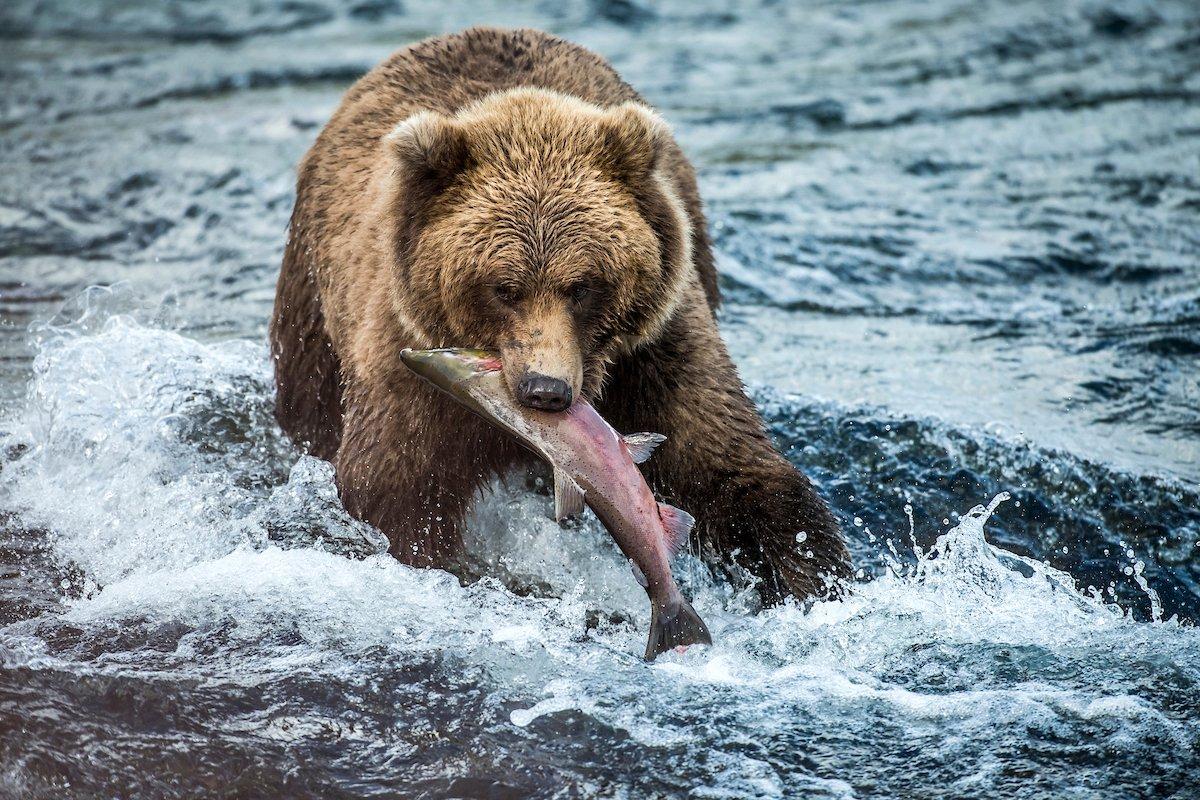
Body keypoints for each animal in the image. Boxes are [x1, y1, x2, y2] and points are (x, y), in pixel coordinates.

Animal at [271, 23, 849, 599]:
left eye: (582, 286)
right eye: (504, 288)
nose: (545, 390)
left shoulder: (654, 351)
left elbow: (730, 467)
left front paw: (812, 578)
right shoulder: (408, 365)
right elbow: (395, 489)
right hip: (312, 307)